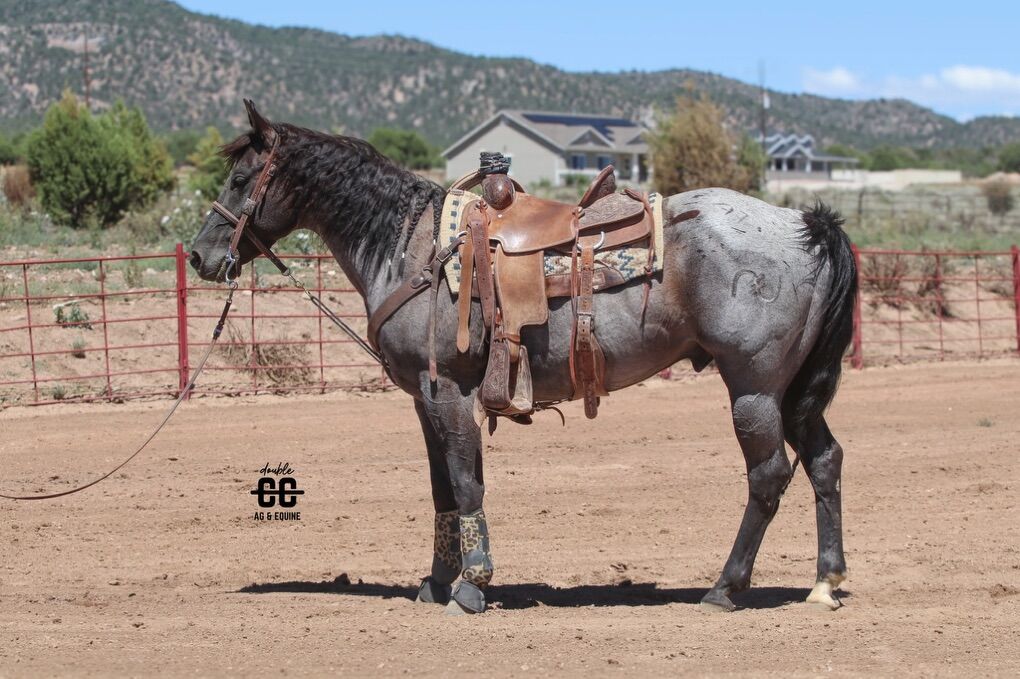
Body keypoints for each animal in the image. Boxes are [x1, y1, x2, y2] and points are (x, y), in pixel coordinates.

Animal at [190, 100, 857, 616]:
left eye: (241, 178)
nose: (200, 256)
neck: (411, 250)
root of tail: (805, 224)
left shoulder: (448, 392)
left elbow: (464, 482)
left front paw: (471, 586)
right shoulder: (425, 398)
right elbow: (444, 488)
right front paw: (437, 582)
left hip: (754, 388)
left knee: (768, 476)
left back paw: (724, 588)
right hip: (794, 392)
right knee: (824, 460)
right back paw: (824, 582)